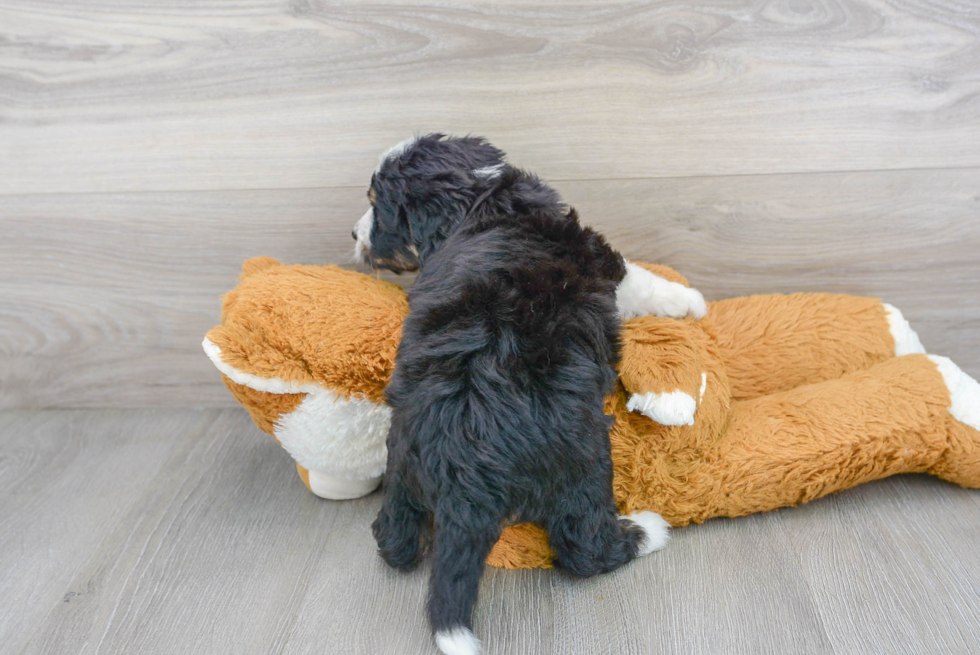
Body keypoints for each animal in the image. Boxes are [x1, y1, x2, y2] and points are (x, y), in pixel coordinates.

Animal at [356, 135, 700, 655]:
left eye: (378, 208)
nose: (353, 235)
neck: (479, 197)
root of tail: (462, 472)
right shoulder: (601, 258)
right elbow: (641, 280)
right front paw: (690, 301)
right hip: (583, 463)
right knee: (584, 547)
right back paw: (647, 530)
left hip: (400, 461)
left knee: (393, 537)